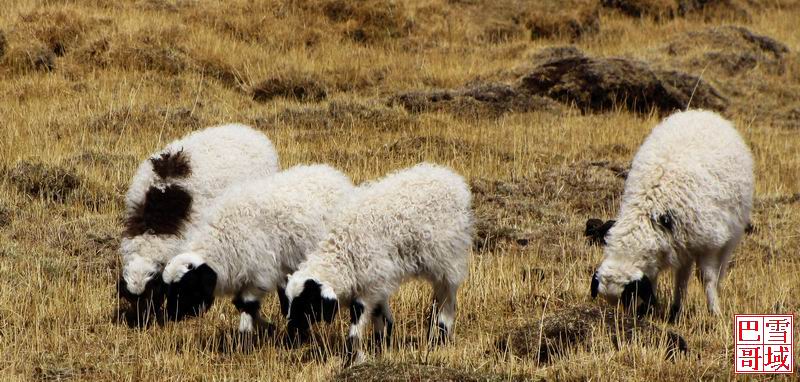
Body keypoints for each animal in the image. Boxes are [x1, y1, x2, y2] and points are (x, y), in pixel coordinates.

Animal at [161, 165, 352, 334]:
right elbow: (241, 305)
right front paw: (269, 327)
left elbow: (247, 305)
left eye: (187, 287)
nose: (170, 316)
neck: (223, 237)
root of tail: (334, 175)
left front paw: (247, 335)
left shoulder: (259, 274)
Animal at [286, 163, 476, 366]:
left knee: (447, 294)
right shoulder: (377, 282)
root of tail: (451, 178)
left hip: (448, 255)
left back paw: (440, 335)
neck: (343, 254)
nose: (291, 328)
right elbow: (381, 315)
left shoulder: (370, 283)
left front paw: (351, 358)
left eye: (307, 303)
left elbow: (357, 318)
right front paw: (381, 346)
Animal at [592, 110, 752, 322]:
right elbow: (669, 278)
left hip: (730, 234)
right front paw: (665, 312)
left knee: (719, 270)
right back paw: (676, 308)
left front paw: (714, 311)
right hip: (686, 242)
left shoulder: (709, 244)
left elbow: (707, 278)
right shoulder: (677, 244)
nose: (632, 318)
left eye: (630, 294)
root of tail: (703, 113)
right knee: (683, 275)